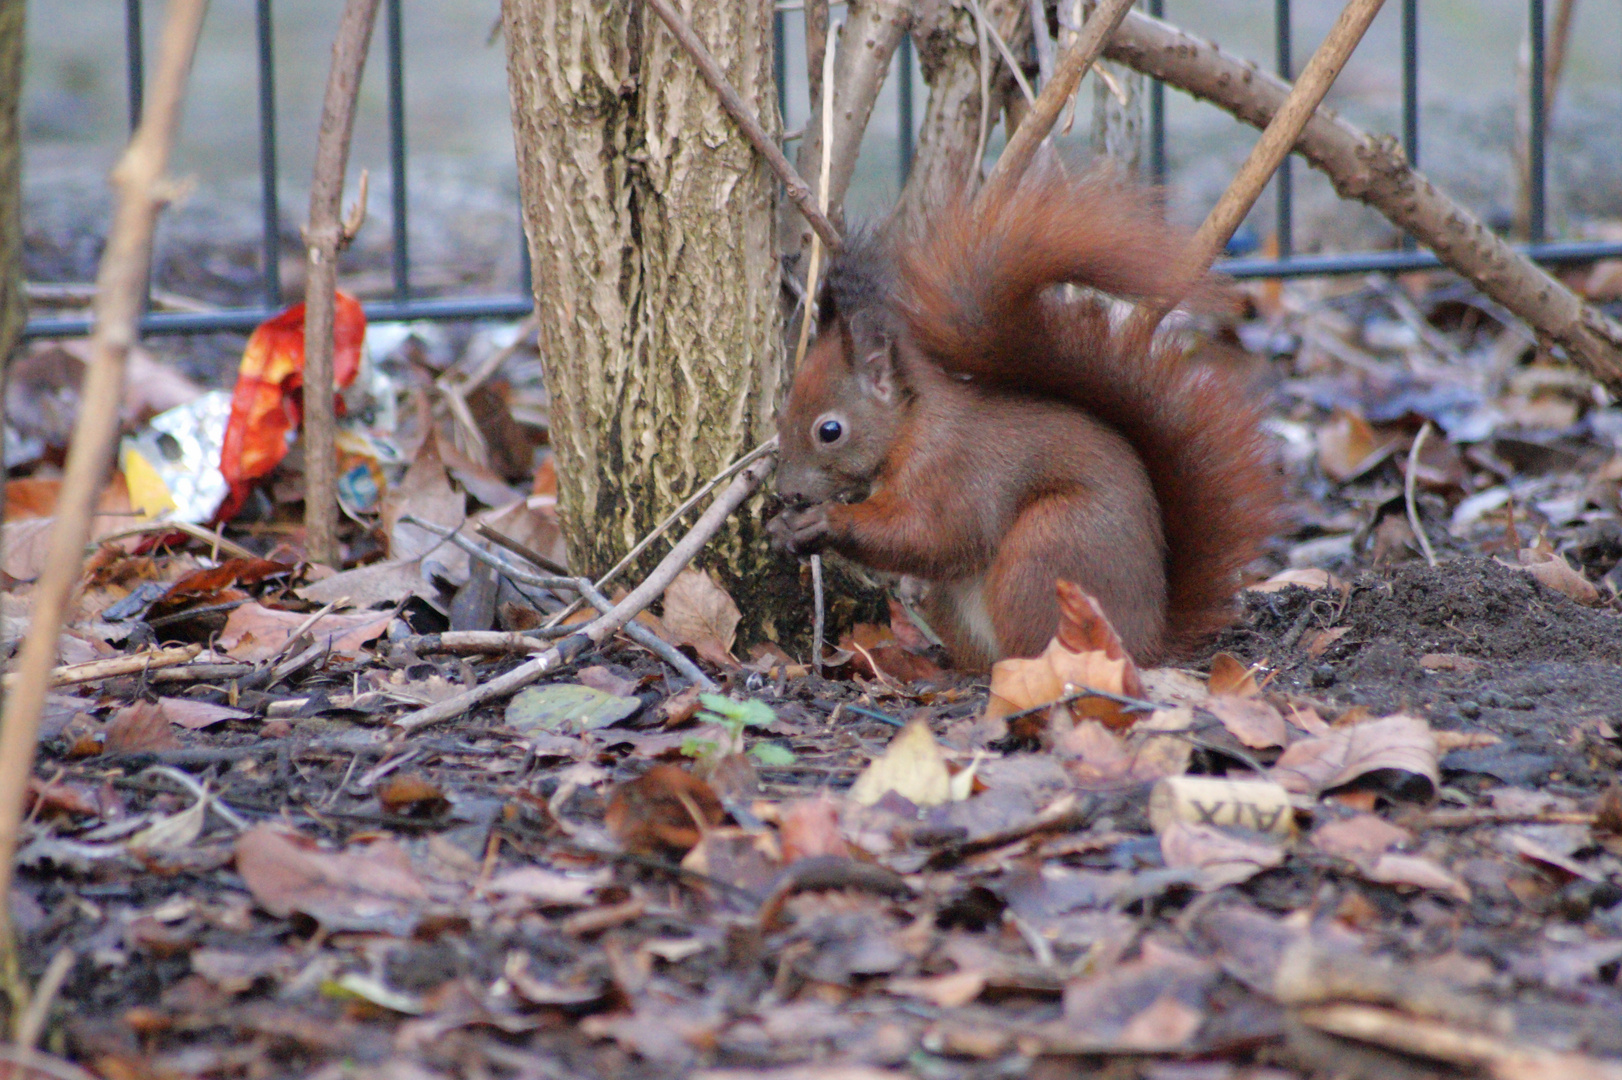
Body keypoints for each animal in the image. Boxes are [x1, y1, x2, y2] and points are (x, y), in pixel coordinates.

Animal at [768, 168, 1278, 664]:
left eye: (829, 430)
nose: (786, 492)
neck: (911, 427)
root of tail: (1147, 643)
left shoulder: (952, 474)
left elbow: (932, 536)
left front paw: (827, 521)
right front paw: (783, 530)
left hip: (1045, 554)